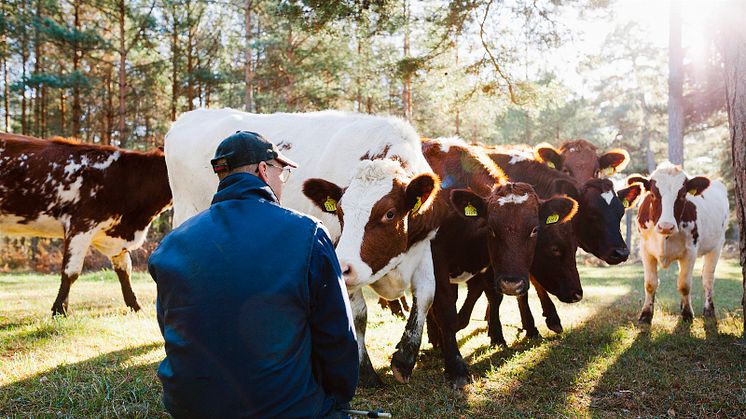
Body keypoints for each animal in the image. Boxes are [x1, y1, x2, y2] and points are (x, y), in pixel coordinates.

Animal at [0, 134, 171, 316]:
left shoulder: (114, 237)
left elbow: (125, 271)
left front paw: (136, 307)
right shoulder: (80, 226)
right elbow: (71, 272)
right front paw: (59, 311)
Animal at [418, 139, 576, 390]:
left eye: (535, 229)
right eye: (491, 228)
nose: (512, 283)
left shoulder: (489, 268)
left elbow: (490, 297)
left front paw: (498, 337)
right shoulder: (436, 263)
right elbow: (445, 310)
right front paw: (455, 366)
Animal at [624, 162, 724, 324]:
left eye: (683, 195)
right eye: (653, 194)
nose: (666, 226)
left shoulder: (690, 252)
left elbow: (684, 285)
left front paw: (687, 313)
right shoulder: (645, 250)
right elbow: (650, 283)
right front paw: (646, 314)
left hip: (717, 246)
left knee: (708, 278)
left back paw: (709, 310)